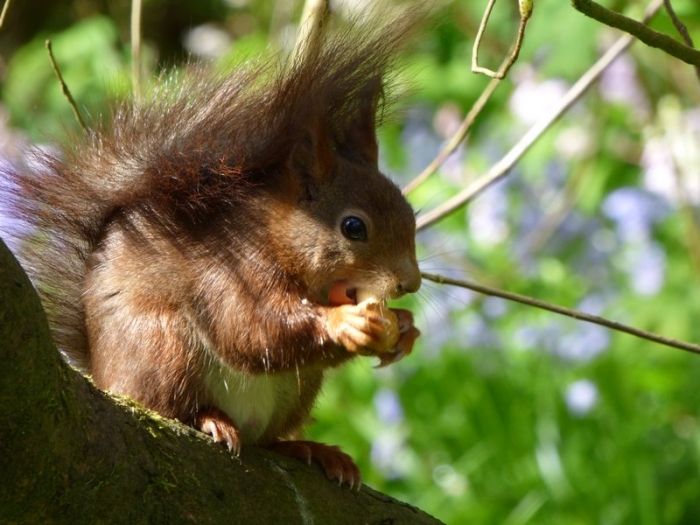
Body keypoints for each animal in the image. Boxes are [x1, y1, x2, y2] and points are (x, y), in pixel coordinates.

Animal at [0, 9, 422, 488]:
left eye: (410, 213)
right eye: (353, 227)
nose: (410, 283)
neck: (277, 237)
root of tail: (106, 375)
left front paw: (404, 329)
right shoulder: (231, 268)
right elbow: (250, 328)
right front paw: (344, 323)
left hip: (294, 391)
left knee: (269, 438)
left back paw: (308, 449)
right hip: (162, 347)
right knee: (173, 405)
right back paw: (209, 419)